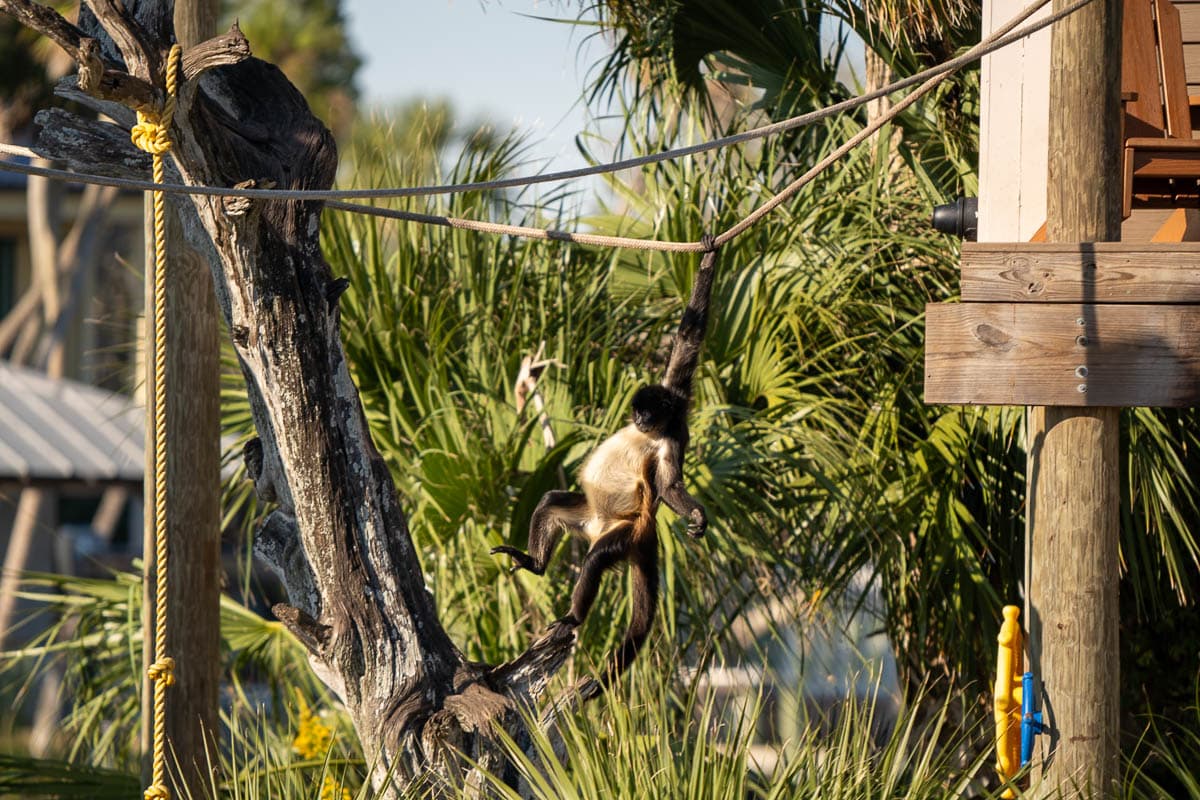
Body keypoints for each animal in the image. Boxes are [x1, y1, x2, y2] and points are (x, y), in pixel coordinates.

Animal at [491, 234, 720, 685]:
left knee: (596, 557)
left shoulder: (673, 436)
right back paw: (536, 564)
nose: (640, 419)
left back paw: (574, 616)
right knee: (550, 503)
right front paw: (707, 258)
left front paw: (697, 515)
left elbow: (668, 484)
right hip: (588, 517)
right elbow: (688, 338)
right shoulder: (677, 394)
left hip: (622, 533)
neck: (665, 423)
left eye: (649, 414)